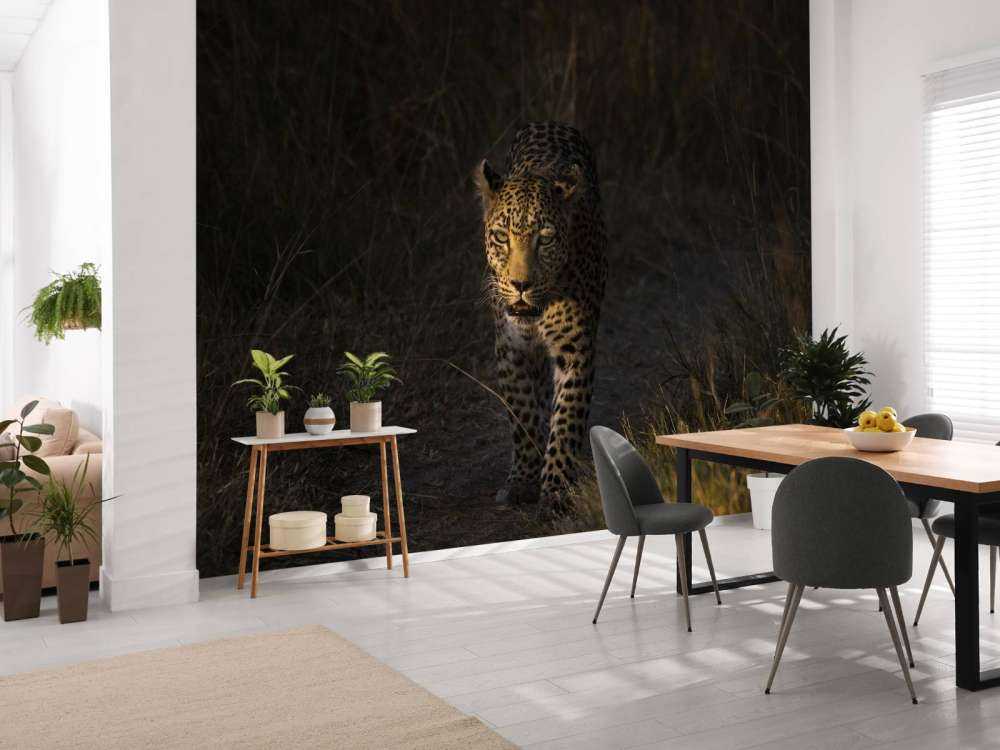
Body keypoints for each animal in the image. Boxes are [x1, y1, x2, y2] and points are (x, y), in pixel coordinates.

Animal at [474, 121, 608, 509]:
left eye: (545, 239)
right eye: (501, 237)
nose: (521, 284)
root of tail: (550, 122)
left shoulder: (575, 348)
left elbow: (567, 420)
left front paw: (556, 488)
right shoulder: (511, 349)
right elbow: (523, 415)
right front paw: (522, 480)